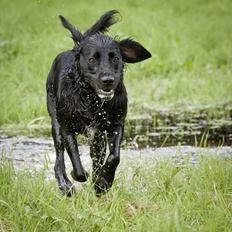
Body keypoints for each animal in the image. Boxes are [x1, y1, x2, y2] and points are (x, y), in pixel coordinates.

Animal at [46, 10, 152, 196]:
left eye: (115, 58)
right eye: (92, 59)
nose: (108, 80)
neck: (92, 100)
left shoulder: (115, 124)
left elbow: (114, 157)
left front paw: (103, 182)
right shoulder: (67, 127)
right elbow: (76, 162)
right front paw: (79, 176)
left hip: (98, 137)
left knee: (97, 156)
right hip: (56, 122)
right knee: (59, 157)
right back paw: (65, 185)